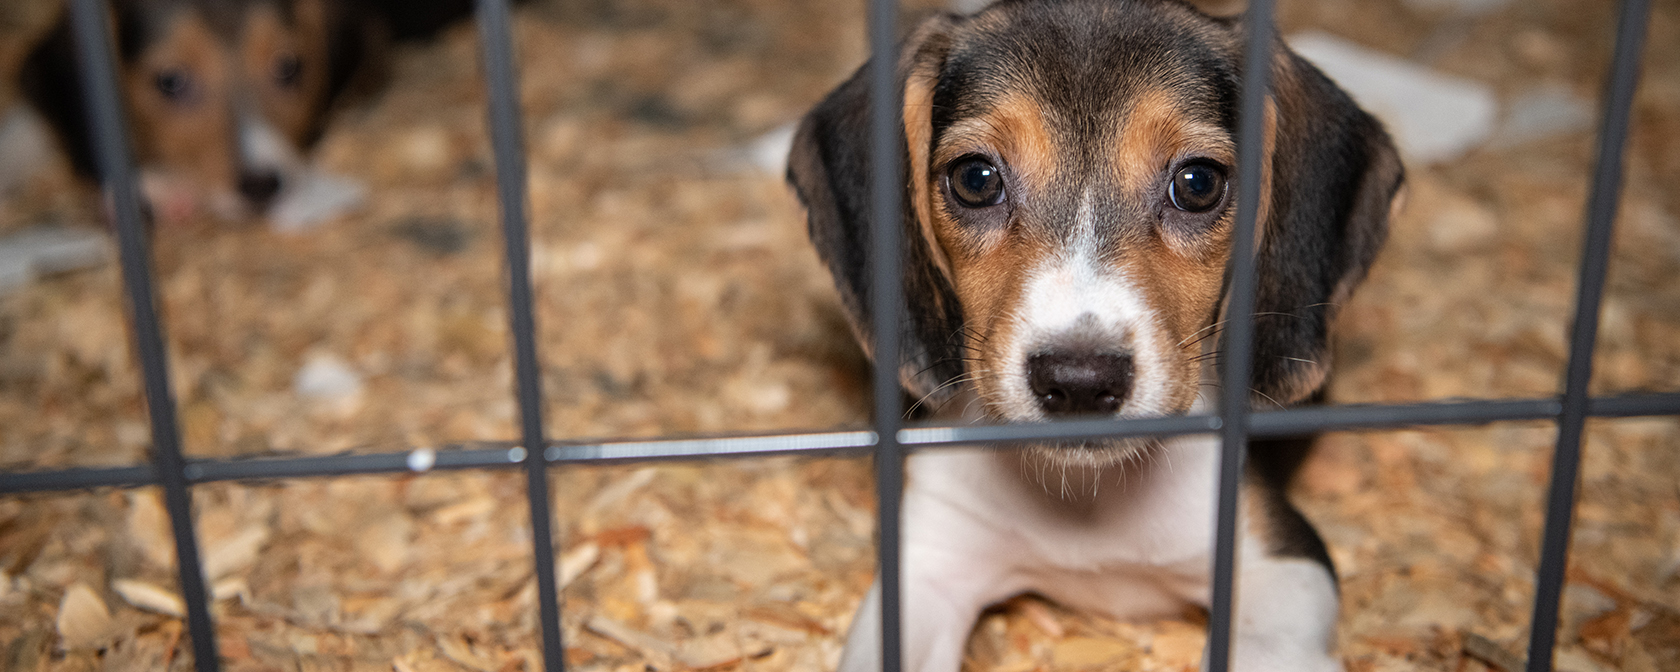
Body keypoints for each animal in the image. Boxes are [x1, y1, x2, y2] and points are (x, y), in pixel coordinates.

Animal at [786, 1, 1404, 672]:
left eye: (1199, 183)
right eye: (975, 178)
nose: (1079, 382)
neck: (1089, 498)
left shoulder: (1284, 564)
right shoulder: (925, 567)